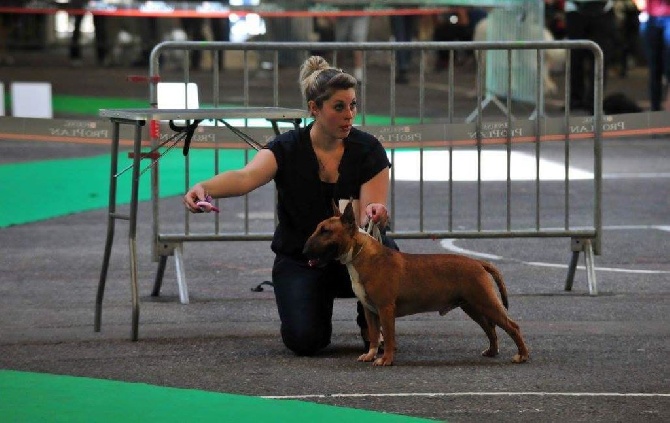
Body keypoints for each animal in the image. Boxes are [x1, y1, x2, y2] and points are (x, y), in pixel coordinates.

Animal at [304, 200, 532, 366]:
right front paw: (370, 355)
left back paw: (522, 355)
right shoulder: (370, 310)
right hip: (472, 305)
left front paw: (386, 360)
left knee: (511, 326)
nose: (304, 251)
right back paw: (492, 351)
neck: (362, 255)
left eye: (326, 231)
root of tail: (478, 263)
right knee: (490, 328)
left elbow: (388, 336)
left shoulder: (386, 309)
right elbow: (374, 335)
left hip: (485, 301)